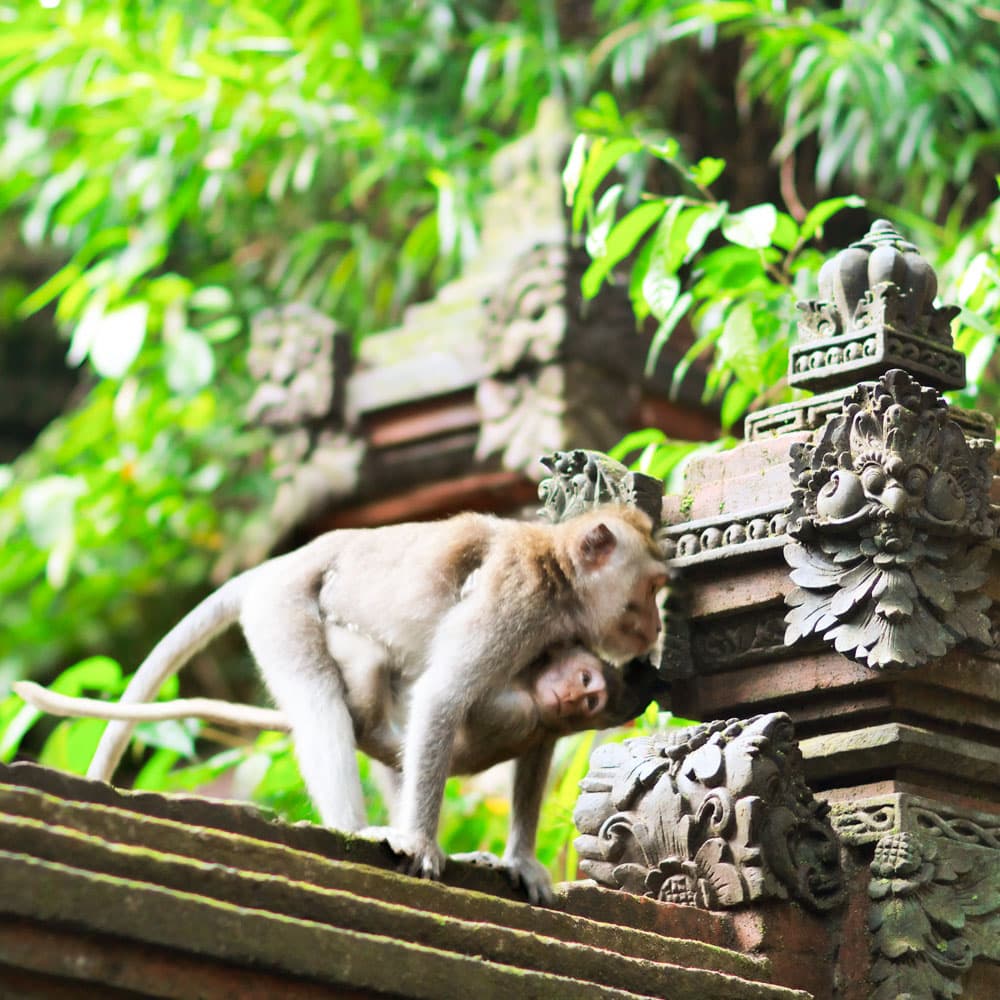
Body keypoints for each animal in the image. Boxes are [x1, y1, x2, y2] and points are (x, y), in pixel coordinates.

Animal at [84, 506, 667, 903]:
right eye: (651, 587)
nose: (658, 625)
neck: (558, 576)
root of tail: (282, 562)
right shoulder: (515, 603)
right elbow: (444, 696)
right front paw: (424, 845)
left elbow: (536, 744)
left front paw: (519, 859)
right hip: (282, 609)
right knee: (321, 703)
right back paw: (359, 829)